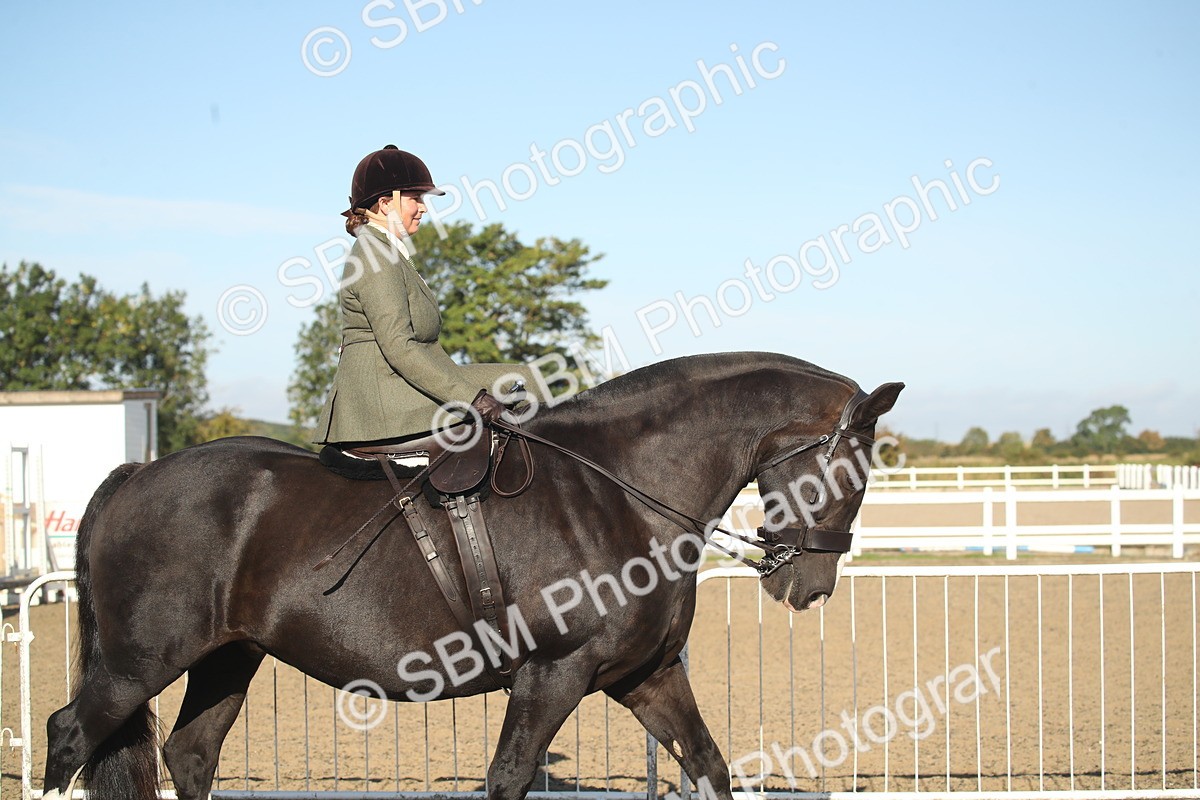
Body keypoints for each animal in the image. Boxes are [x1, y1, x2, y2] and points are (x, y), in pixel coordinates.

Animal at [42, 352, 902, 800]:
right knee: (69, 736)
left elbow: (709, 765)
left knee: (190, 753)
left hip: (227, 656)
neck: (619, 494)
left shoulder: (647, 678)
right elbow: (508, 777)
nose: (807, 587)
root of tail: (139, 473)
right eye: (854, 471)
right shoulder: (553, 675)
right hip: (139, 661)